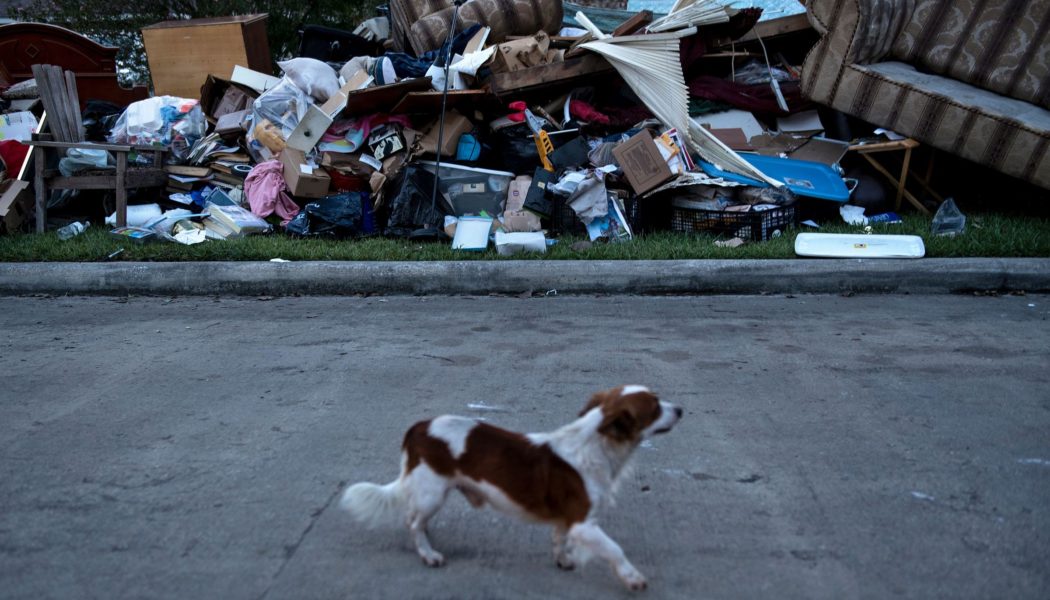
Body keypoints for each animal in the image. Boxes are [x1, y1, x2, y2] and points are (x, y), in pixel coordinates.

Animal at [336, 384, 680, 592]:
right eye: (654, 406)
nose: (680, 409)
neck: (597, 445)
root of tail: (418, 427)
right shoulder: (584, 523)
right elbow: (614, 549)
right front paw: (632, 578)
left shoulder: (566, 520)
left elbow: (558, 540)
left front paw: (563, 561)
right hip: (433, 492)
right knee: (412, 521)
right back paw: (428, 553)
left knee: (415, 518)